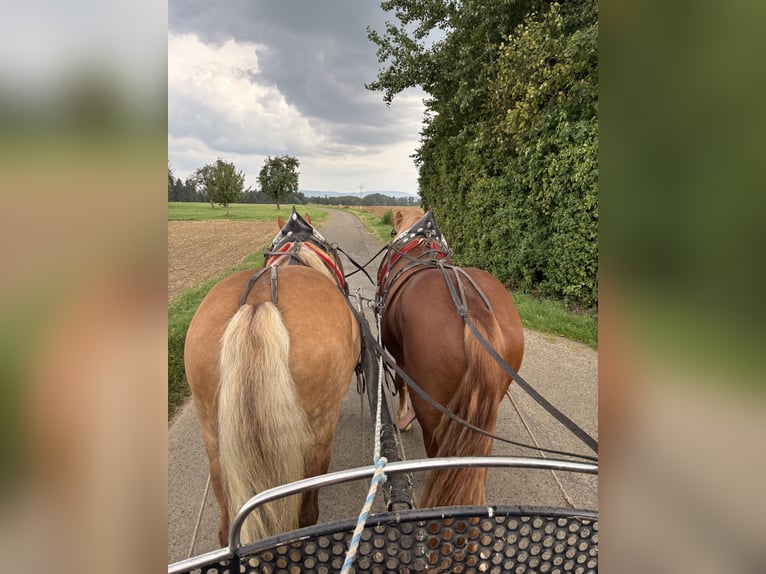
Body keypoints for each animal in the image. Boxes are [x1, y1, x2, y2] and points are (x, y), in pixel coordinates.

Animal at [377, 208, 525, 508]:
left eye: (393, 231)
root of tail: (473, 308)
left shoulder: (400, 357)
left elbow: (401, 382)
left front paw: (403, 418)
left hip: (432, 409)